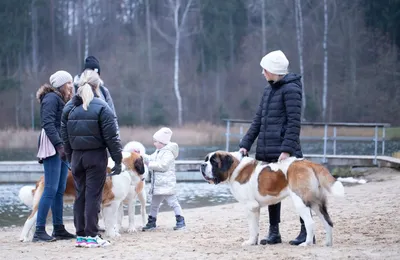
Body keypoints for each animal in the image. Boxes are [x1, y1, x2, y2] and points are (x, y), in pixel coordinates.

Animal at [18, 145, 147, 243]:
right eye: (142, 163)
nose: (145, 176)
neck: (125, 169)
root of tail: (42, 178)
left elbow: (111, 220)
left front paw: (111, 233)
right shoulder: (112, 203)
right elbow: (111, 221)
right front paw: (113, 234)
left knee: (35, 221)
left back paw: (32, 238)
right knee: (29, 220)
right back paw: (23, 237)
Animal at [200, 151, 344, 247]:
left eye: (213, 162)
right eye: (206, 160)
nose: (202, 165)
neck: (235, 167)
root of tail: (309, 163)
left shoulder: (250, 207)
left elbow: (252, 227)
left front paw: (250, 242)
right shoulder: (255, 208)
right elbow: (255, 226)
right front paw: (254, 242)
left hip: (300, 200)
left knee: (310, 222)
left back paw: (306, 243)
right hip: (316, 203)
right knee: (328, 222)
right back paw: (328, 243)